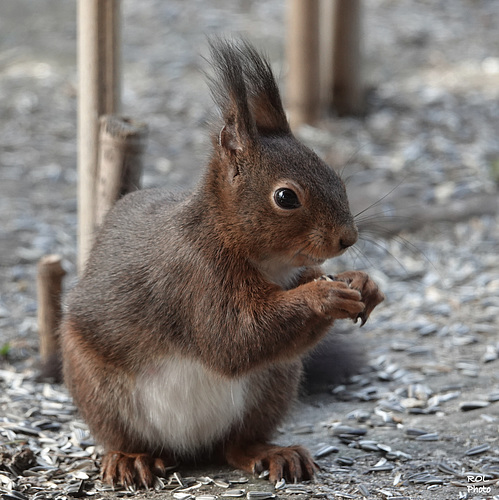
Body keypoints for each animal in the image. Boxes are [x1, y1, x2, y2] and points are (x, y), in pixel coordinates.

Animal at [60, 40, 384, 488]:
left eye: (335, 175)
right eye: (286, 197)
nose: (347, 238)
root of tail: (190, 448)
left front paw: (362, 282)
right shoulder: (193, 277)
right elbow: (234, 337)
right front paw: (326, 296)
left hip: (273, 385)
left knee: (237, 445)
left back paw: (271, 453)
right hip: (97, 386)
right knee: (124, 436)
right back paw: (131, 458)